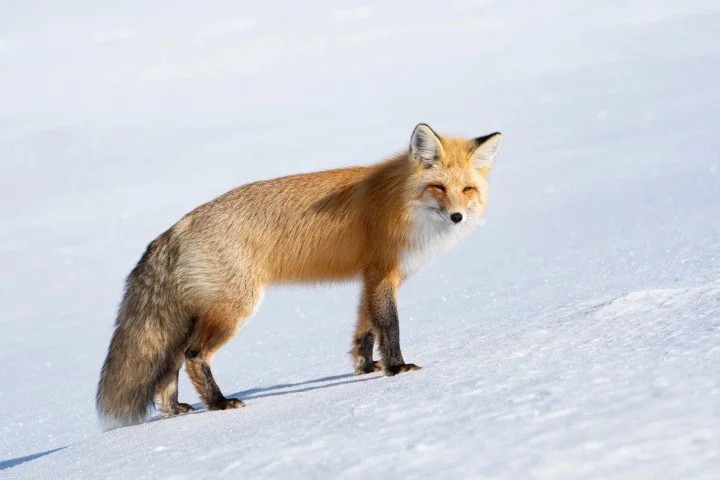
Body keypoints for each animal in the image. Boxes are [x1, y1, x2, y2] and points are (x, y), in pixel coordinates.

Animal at [96, 123, 502, 428]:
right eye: (438, 187)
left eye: (467, 189)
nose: (457, 217)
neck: (400, 203)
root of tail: (178, 225)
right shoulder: (383, 273)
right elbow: (389, 326)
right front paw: (398, 369)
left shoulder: (372, 278)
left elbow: (365, 329)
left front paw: (366, 368)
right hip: (234, 309)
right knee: (193, 355)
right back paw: (220, 403)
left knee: (170, 366)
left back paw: (174, 410)